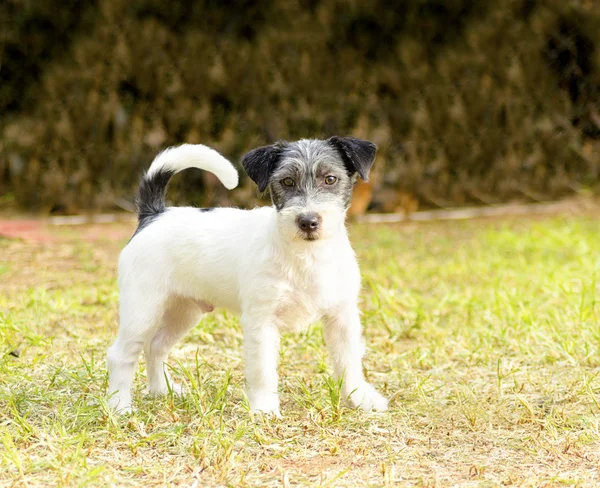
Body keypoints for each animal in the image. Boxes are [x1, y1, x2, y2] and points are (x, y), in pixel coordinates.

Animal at [106, 137, 390, 416]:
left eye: (330, 179)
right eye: (287, 181)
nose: (308, 221)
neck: (306, 256)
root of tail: (154, 215)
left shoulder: (342, 317)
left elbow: (349, 362)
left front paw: (360, 398)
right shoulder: (261, 321)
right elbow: (263, 370)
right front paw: (265, 409)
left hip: (183, 311)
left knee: (155, 347)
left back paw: (163, 391)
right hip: (143, 311)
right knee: (121, 355)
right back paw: (119, 405)